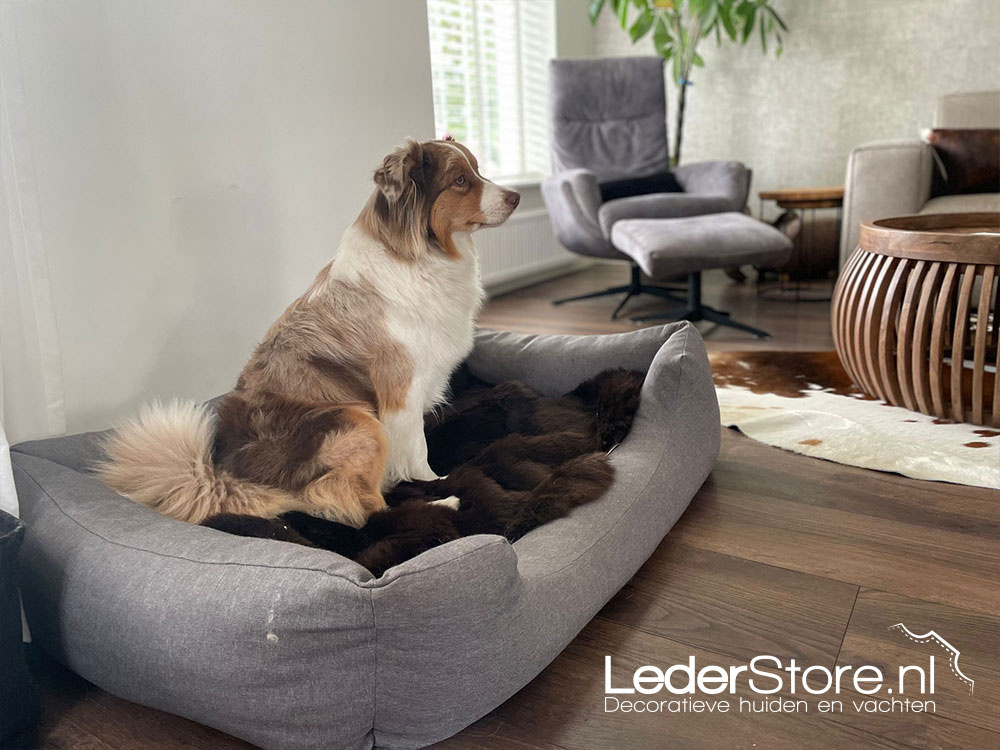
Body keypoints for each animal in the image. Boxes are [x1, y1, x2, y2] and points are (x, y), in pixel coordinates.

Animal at [96, 138, 520, 524]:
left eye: (478, 169)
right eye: (460, 180)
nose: (517, 197)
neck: (418, 254)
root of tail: (229, 478)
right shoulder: (401, 391)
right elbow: (417, 453)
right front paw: (437, 481)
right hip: (359, 420)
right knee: (362, 508)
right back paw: (443, 503)